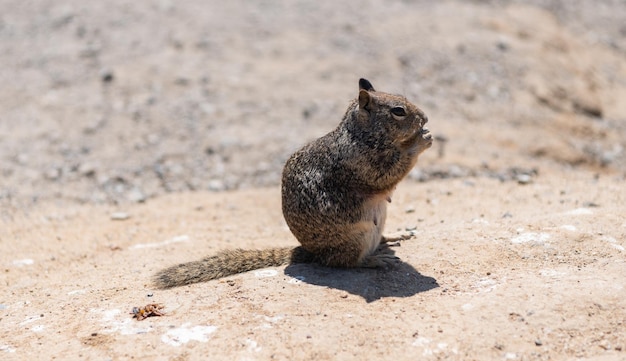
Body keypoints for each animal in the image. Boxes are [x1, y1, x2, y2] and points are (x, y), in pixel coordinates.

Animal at [154, 78, 432, 286]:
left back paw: (390, 238)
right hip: (355, 240)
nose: (426, 118)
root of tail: (311, 253)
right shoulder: (363, 163)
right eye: (398, 111)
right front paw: (419, 141)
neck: (361, 135)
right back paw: (375, 260)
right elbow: (389, 174)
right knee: (344, 262)